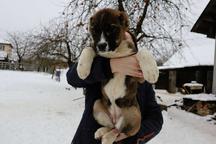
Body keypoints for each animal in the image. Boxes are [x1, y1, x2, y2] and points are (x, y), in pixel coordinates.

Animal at [77, 8, 159, 144]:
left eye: (111, 29)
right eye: (95, 31)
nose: (101, 45)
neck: (115, 52)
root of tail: (116, 118)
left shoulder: (139, 77)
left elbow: (142, 51)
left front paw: (152, 72)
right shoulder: (96, 50)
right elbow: (88, 48)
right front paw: (82, 69)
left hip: (135, 116)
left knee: (119, 131)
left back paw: (107, 138)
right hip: (96, 105)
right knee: (112, 126)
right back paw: (101, 132)